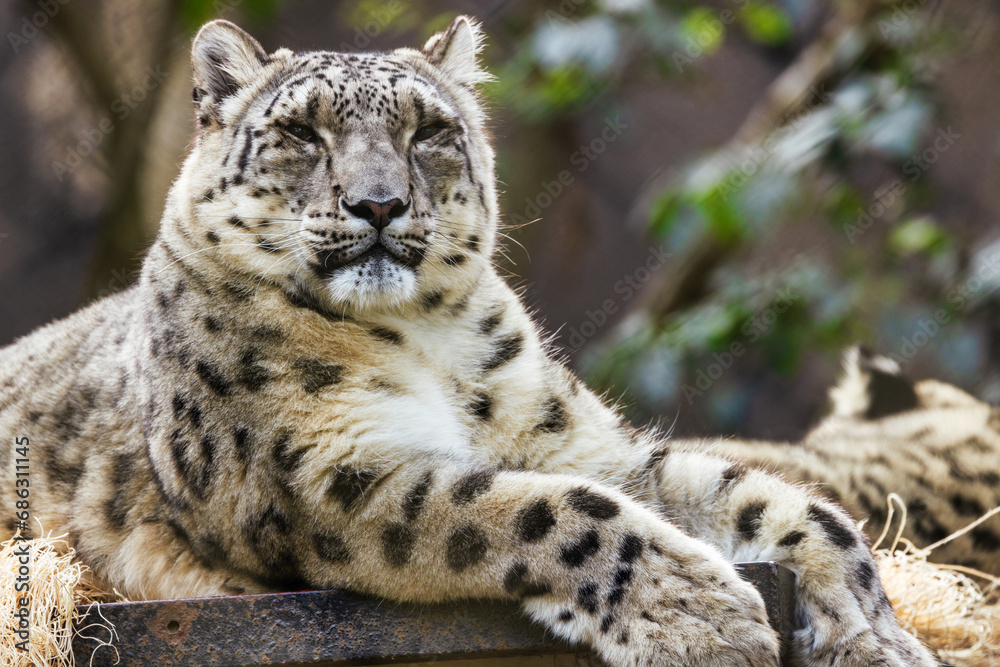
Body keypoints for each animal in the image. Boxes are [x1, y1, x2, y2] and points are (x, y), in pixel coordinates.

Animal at [0, 17, 938, 666]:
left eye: (428, 132)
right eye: (301, 133)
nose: (379, 204)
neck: (426, 342)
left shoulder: (578, 443)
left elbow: (777, 501)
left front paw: (876, 636)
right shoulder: (318, 475)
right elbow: (542, 508)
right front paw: (700, 616)